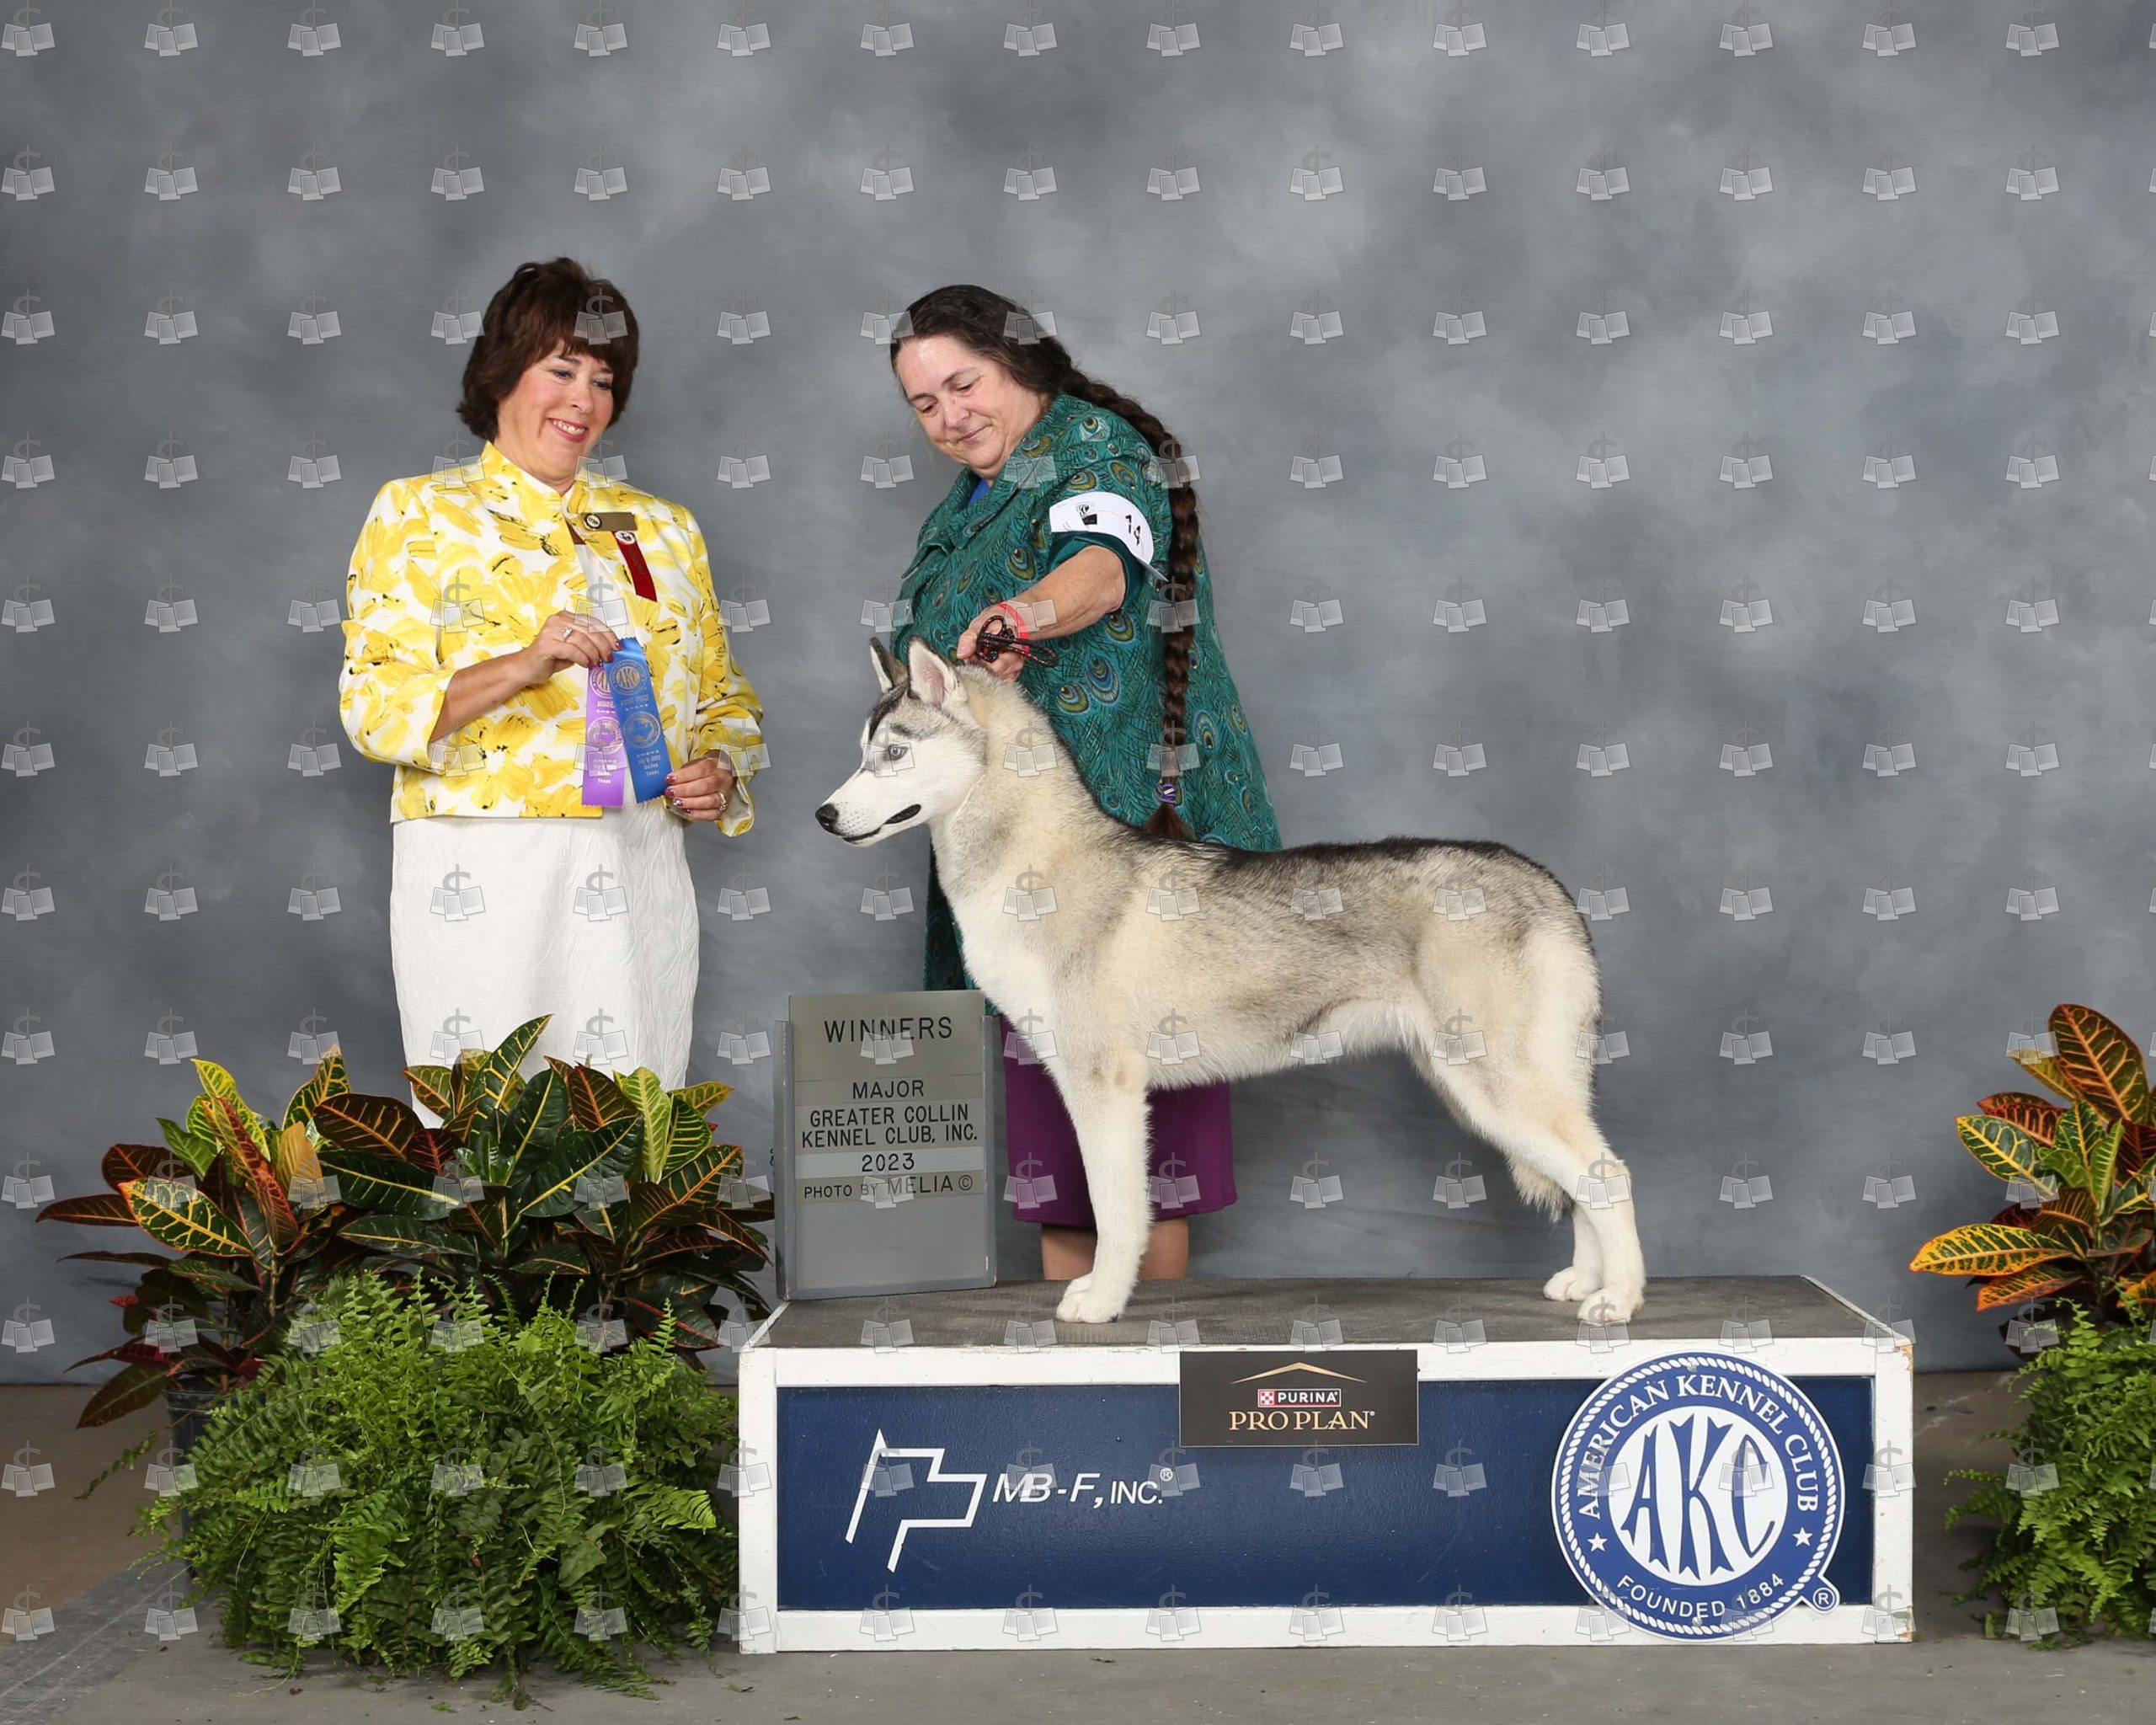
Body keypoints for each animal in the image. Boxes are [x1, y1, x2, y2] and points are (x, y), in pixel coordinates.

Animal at [816, 637, 1647, 1327]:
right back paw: (1585, 1280)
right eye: (859, 753)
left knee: (1609, 1172)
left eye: (893, 752)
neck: (1034, 870)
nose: (823, 814)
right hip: (1486, 1084)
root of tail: (1545, 884)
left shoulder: (1103, 1085)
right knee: (1584, 1178)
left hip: (1496, 1084)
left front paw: (1101, 1301)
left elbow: (1116, 1213)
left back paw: (1621, 1299)